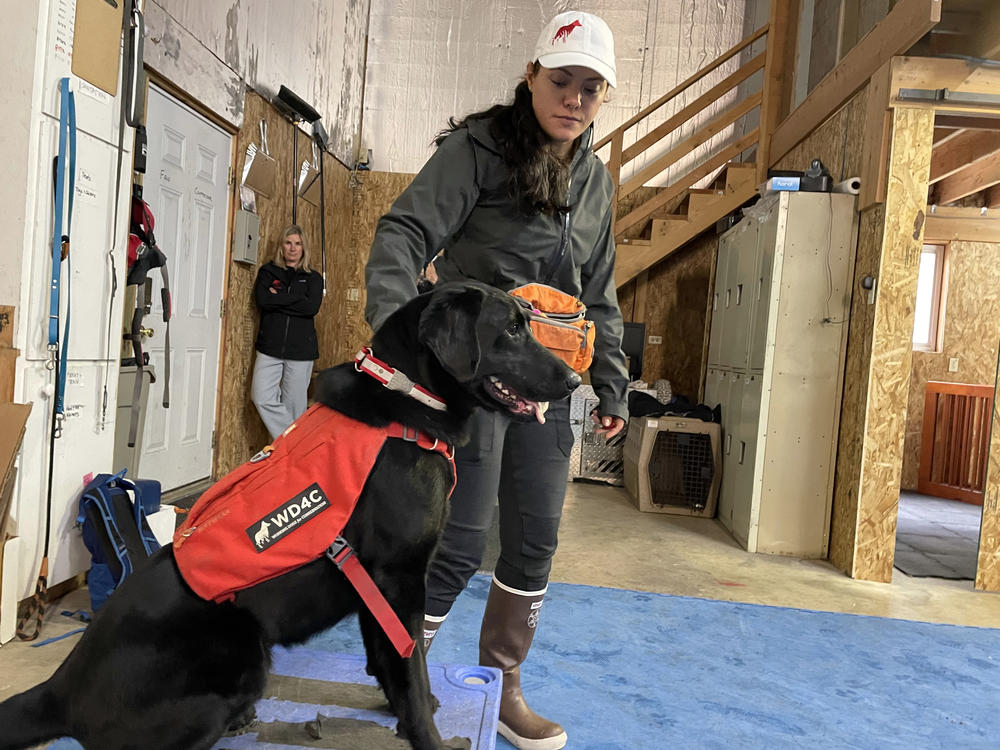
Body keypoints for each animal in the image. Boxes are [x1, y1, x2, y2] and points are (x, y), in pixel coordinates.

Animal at [0, 284, 580, 750]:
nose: (576, 380)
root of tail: (58, 689)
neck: (405, 400)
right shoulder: (399, 578)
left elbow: (387, 660)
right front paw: (425, 733)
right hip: (243, 653)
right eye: (511, 330)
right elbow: (410, 667)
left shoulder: (372, 584)